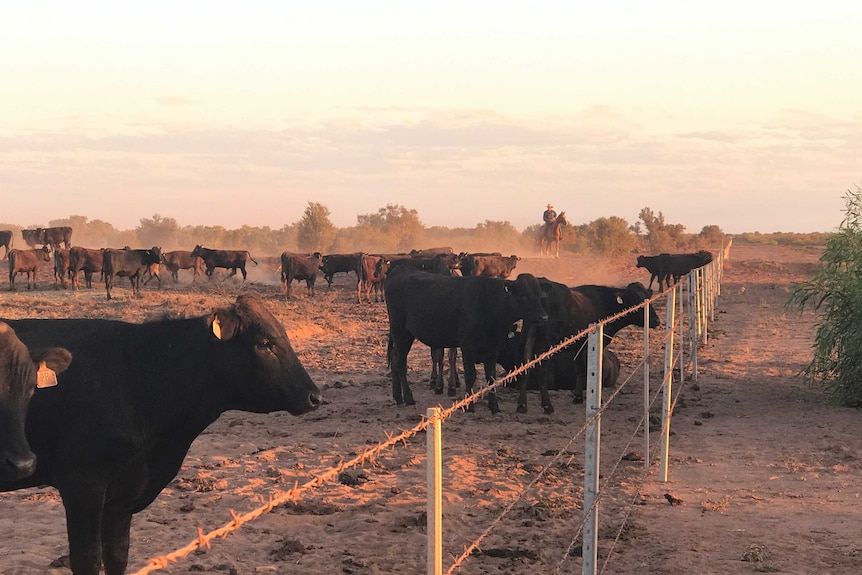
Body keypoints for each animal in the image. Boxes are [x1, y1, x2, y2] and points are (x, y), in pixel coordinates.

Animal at [384, 266, 548, 414]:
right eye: (524, 296)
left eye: (539, 296)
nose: (543, 317)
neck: (489, 302)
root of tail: (399, 271)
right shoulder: (467, 345)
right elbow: (470, 375)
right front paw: (469, 406)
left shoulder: (493, 346)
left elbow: (491, 376)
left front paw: (494, 407)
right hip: (400, 330)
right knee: (400, 363)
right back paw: (409, 399)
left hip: (405, 334)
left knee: (394, 358)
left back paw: (398, 397)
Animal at [500, 280, 660, 412]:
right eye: (635, 299)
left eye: (648, 297)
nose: (656, 320)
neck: (603, 303)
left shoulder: (580, 346)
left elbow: (580, 368)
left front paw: (578, 397)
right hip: (546, 342)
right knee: (542, 369)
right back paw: (547, 406)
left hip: (529, 337)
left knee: (525, 363)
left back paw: (522, 405)